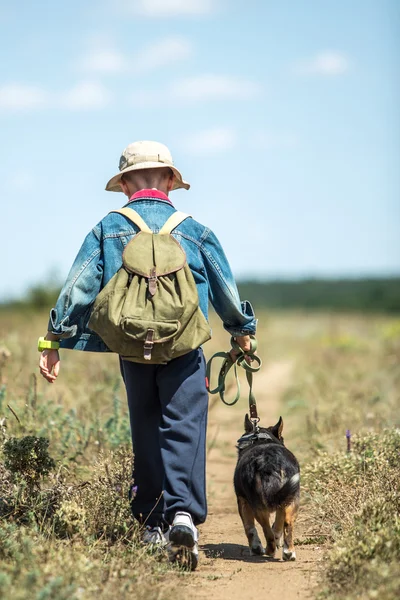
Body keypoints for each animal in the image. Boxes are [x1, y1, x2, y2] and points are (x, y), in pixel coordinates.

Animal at [234, 414, 300, 560]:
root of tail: (272, 462)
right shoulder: (282, 499)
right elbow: (278, 525)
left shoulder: (242, 501)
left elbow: (249, 528)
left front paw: (255, 548)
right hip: (292, 498)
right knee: (287, 523)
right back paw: (288, 552)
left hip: (259, 506)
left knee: (267, 531)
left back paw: (268, 551)